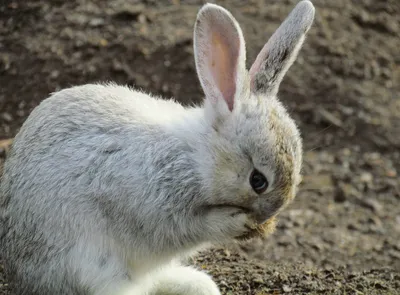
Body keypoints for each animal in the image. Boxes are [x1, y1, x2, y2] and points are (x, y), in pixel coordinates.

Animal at [0, 1, 316, 294]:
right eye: (257, 181)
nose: (266, 218)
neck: (197, 159)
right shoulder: (155, 208)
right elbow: (191, 227)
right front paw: (237, 223)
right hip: (93, 268)